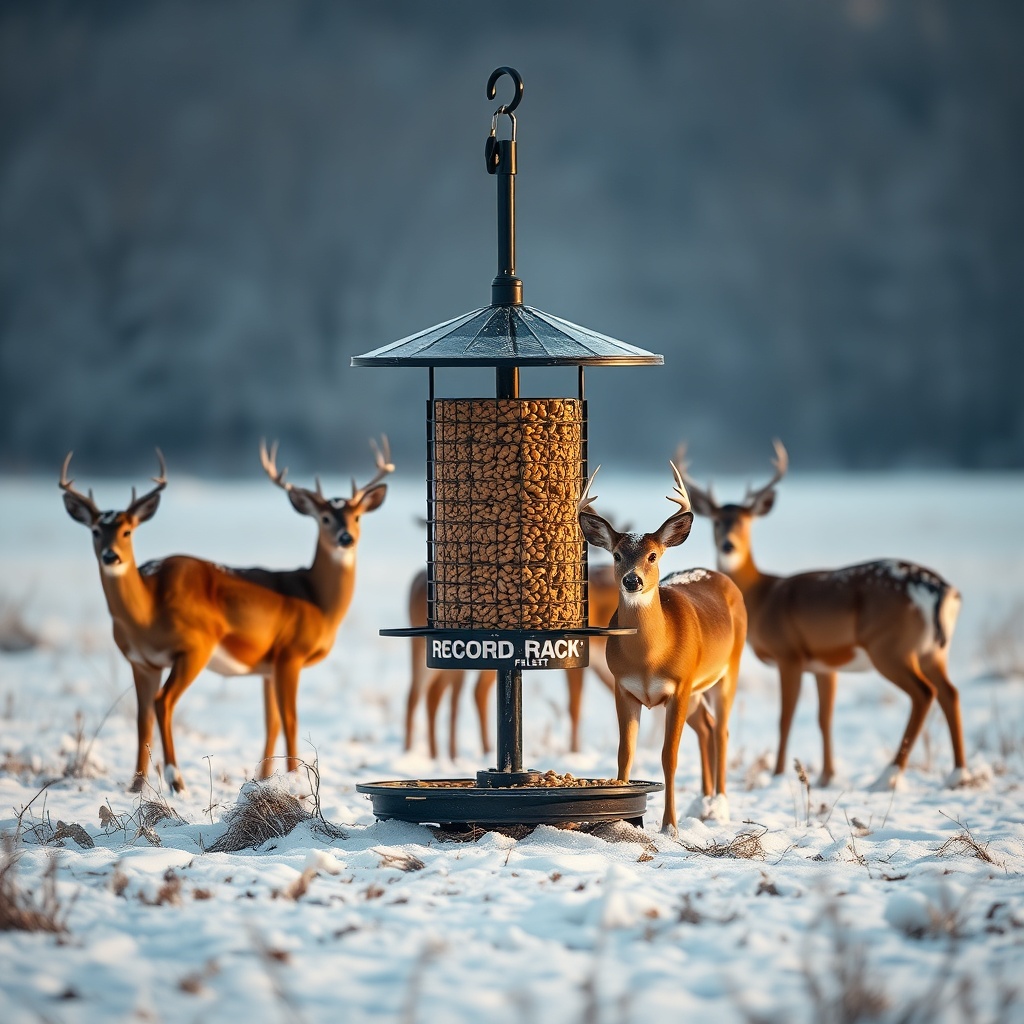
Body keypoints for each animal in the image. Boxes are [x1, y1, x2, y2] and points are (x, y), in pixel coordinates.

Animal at [60, 439, 392, 794]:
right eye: (326, 518)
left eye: (357, 516)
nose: (347, 538)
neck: (316, 600)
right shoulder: (290, 654)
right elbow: (290, 719)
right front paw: (295, 777)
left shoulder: (266, 668)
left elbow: (271, 722)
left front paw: (266, 777)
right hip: (196, 648)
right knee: (164, 702)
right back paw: (176, 779)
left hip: (146, 662)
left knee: (143, 713)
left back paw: (136, 786)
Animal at [577, 464, 747, 833]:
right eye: (616, 555)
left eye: (653, 556)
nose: (632, 580)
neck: (649, 659)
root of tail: (719, 575)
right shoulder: (624, 688)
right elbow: (625, 753)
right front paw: (620, 820)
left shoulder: (679, 687)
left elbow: (669, 756)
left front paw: (670, 826)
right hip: (698, 690)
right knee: (707, 727)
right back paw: (704, 803)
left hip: (727, 671)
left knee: (722, 731)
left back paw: (719, 806)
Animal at [679, 440, 969, 791]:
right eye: (717, 521)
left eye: (746, 522)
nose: (728, 545)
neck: (763, 595)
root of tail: (941, 589)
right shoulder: (824, 665)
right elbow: (824, 717)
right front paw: (826, 776)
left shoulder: (788, 653)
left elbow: (785, 717)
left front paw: (778, 774)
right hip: (933, 651)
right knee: (951, 693)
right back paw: (958, 775)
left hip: (891, 647)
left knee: (925, 693)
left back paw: (887, 776)